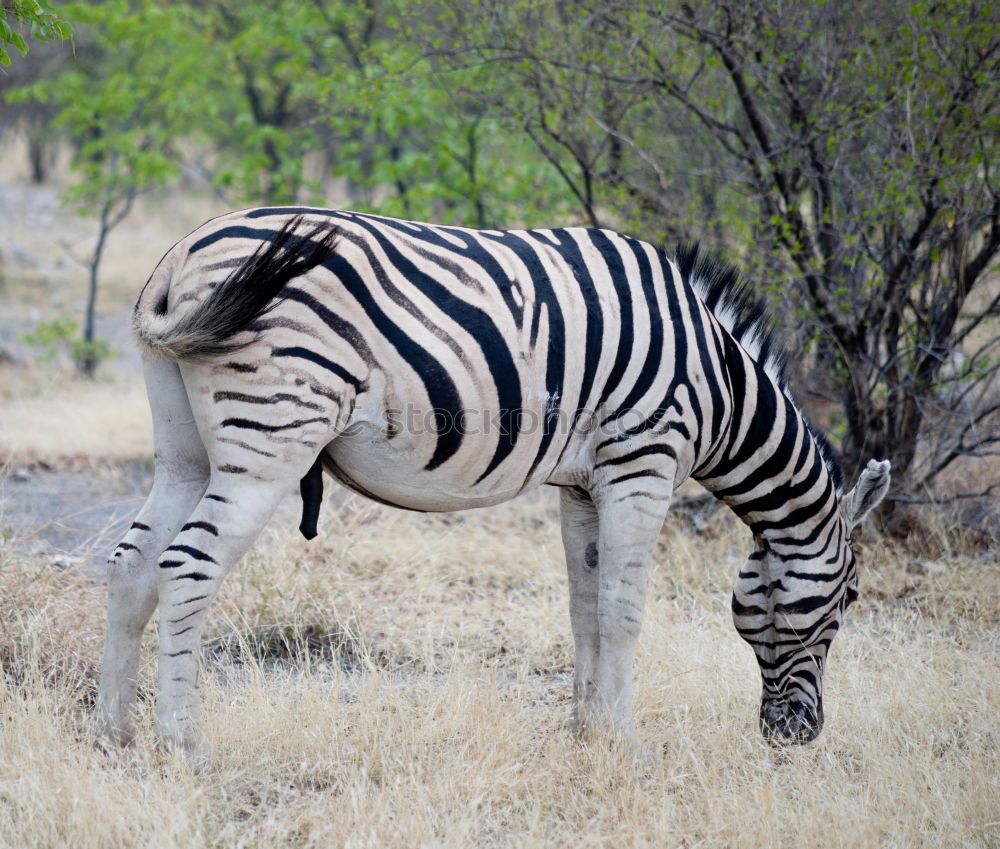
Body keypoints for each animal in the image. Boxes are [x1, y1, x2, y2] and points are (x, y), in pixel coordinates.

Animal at [94, 209, 892, 760]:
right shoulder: (643, 461)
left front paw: (586, 731)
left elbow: (584, 608)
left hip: (187, 450)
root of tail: (181, 255)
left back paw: (114, 732)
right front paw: (626, 743)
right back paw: (182, 741)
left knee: (133, 563)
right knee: (186, 567)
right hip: (270, 437)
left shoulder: (582, 484)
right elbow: (624, 610)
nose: (797, 735)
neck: (720, 385)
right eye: (851, 598)